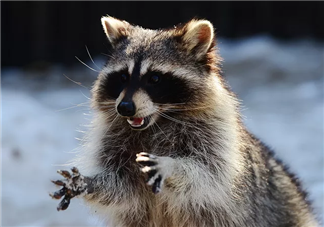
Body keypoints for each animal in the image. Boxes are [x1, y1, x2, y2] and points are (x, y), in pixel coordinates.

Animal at [50, 16, 318, 227]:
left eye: (154, 79)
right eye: (123, 77)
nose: (124, 108)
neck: (158, 121)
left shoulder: (217, 137)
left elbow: (207, 174)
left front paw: (172, 167)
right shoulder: (114, 138)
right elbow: (121, 188)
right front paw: (90, 183)